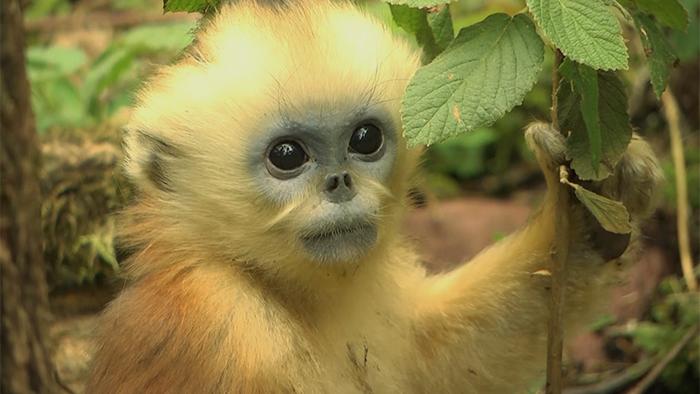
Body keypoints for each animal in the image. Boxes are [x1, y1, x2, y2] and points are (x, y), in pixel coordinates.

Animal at [87, 1, 660, 392]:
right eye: (287, 155)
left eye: (365, 140)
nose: (340, 183)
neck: (293, 298)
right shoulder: (220, 327)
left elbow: (443, 366)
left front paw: (591, 211)